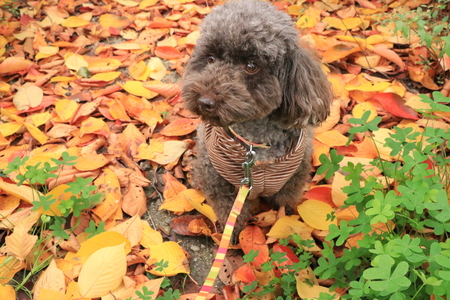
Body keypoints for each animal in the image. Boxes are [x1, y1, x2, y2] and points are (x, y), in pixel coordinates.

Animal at [181, 0, 332, 239]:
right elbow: (229, 211)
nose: (205, 101)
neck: (255, 143)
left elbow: (284, 202)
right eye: (211, 58)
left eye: (251, 66)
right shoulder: (220, 182)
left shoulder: (292, 180)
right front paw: (233, 234)